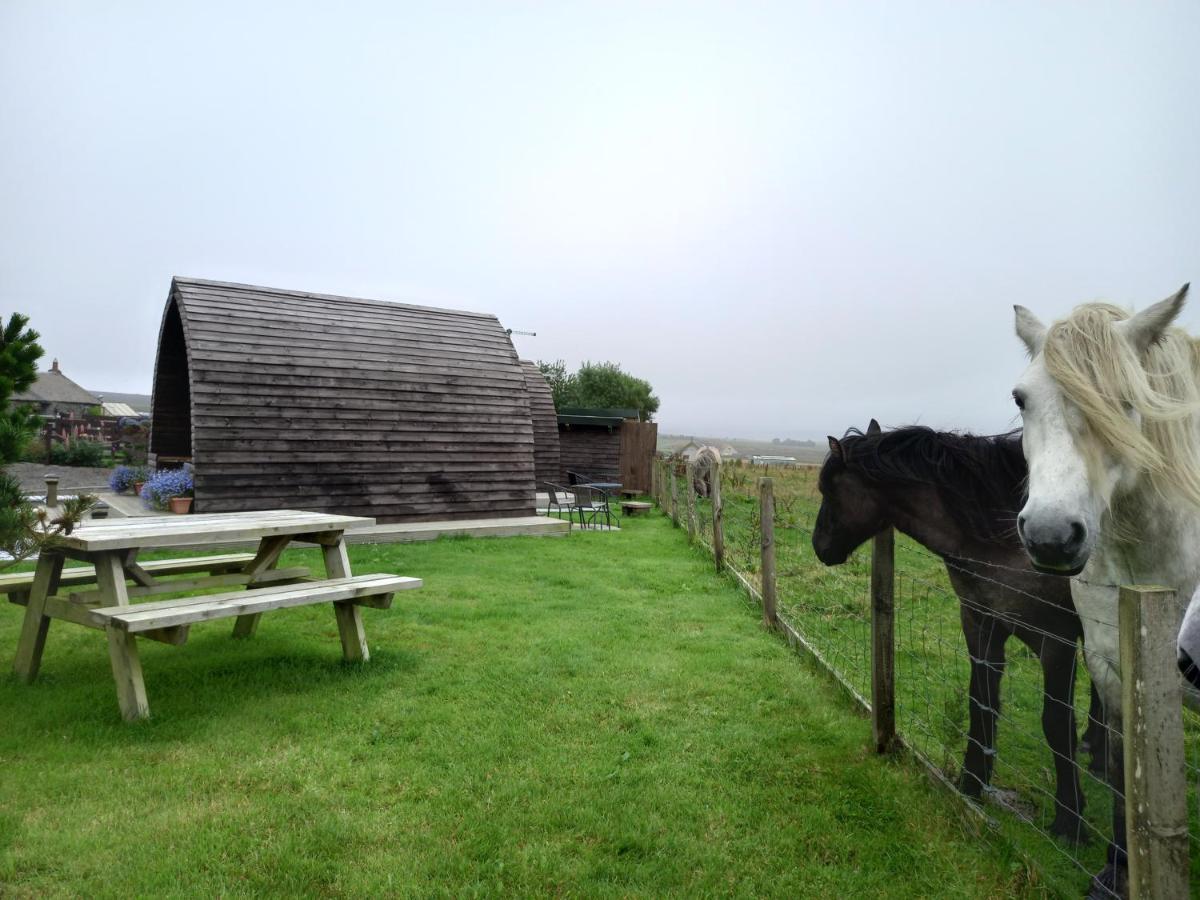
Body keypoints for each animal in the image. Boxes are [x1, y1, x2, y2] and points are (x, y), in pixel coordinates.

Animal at [811, 422, 1099, 844]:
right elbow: (981, 702)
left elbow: (1057, 725)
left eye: (829, 491)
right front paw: (970, 785)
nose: (818, 546)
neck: (1002, 538)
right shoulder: (980, 623)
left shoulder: (1055, 641)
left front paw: (1070, 821)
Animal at [1008, 283, 1195, 900]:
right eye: (1021, 398)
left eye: (1126, 399)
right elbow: (1119, 773)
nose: (1049, 535)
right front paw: (1117, 869)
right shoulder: (1112, 666)